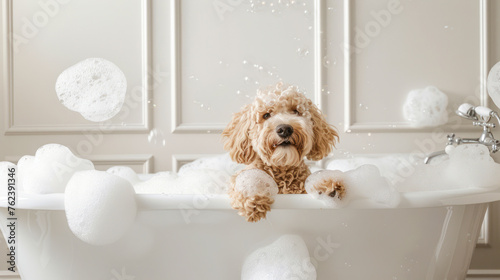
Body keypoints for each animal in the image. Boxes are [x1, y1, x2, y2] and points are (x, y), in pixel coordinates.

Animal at [224, 82, 344, 222]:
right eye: (266, 115)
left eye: (296, 111)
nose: (284, 129)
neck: (282, 170)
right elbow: (249, 180)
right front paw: (253, 198)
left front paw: (328, 186)